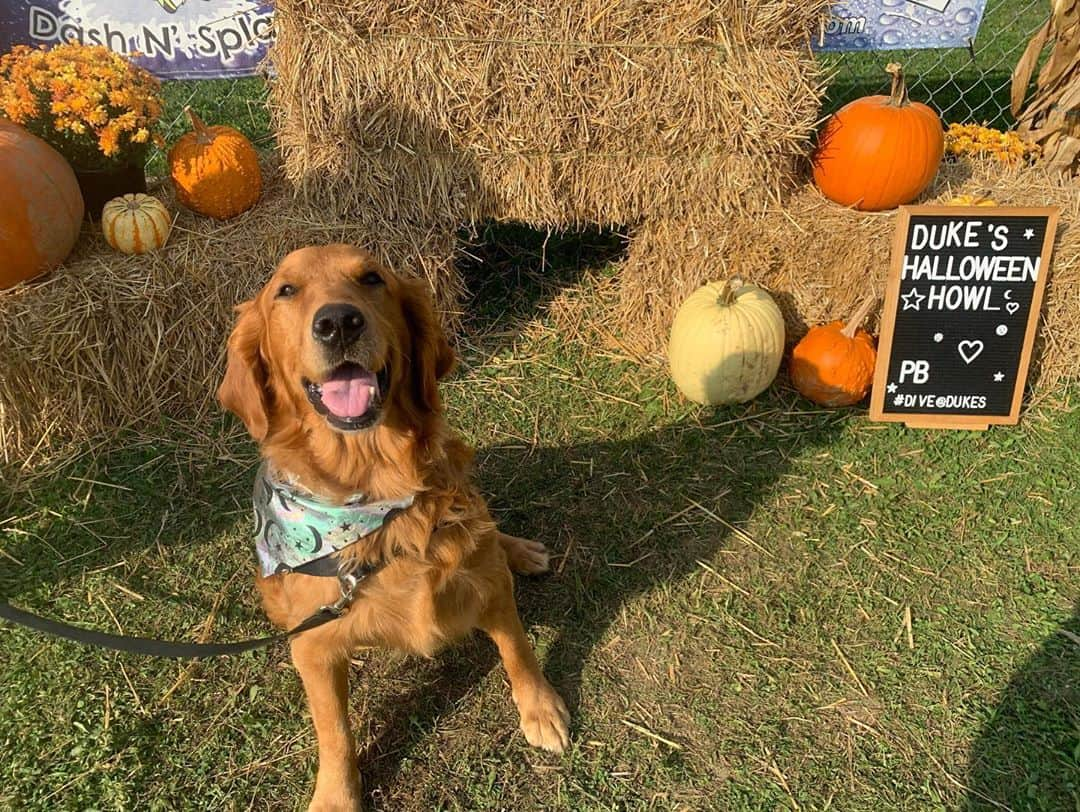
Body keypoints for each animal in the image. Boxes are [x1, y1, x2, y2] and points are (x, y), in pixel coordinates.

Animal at [216, 244, 570, 807]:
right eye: (286, 291)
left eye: (371, 278)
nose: (338, 322)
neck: (376, 486)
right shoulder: (313, 650)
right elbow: (334, 731)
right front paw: (336, 796)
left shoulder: (489, 583)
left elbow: (518, 648)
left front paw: (540, 707)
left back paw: (521, 550)